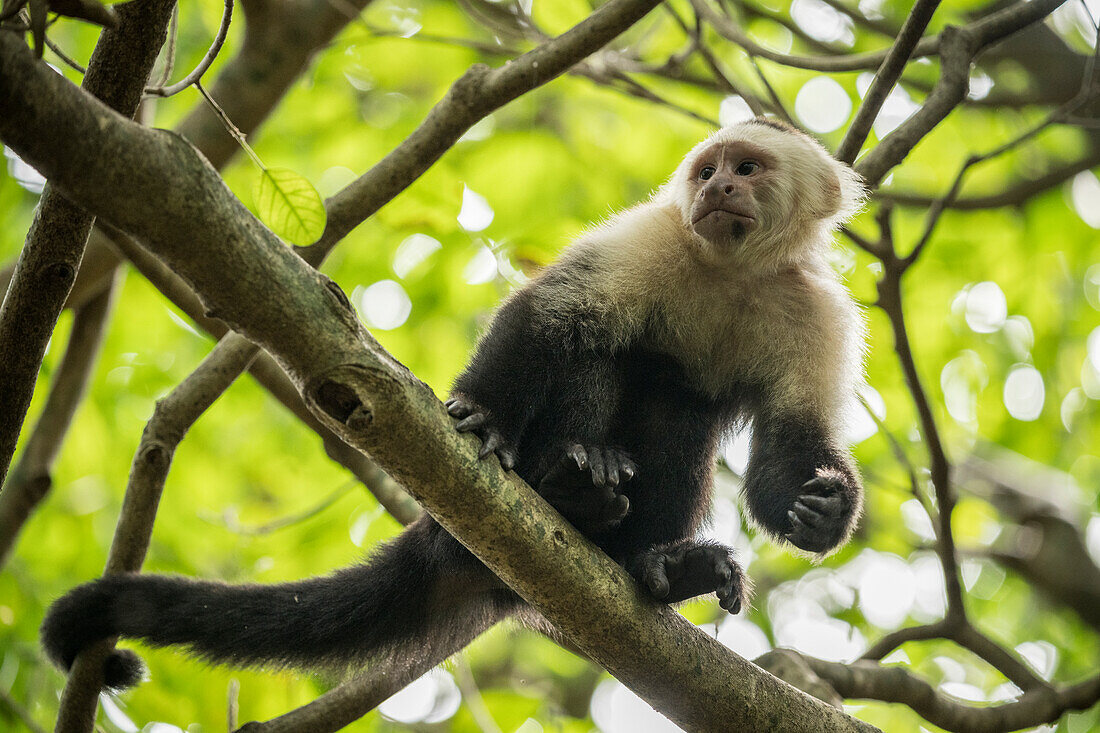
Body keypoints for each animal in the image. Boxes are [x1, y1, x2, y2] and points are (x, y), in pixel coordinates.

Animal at [40, 115, 866, 691]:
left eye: (748, 168)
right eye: (707, 169)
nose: (716, 188)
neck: (731, 271)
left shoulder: (814, 310)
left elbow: (787, 450)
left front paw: (823, 509)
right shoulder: (653, 236)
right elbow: (548, 318)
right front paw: (485, 418)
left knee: (681, 409)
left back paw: (653, 563)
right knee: (601, 356)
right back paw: (570, 489)